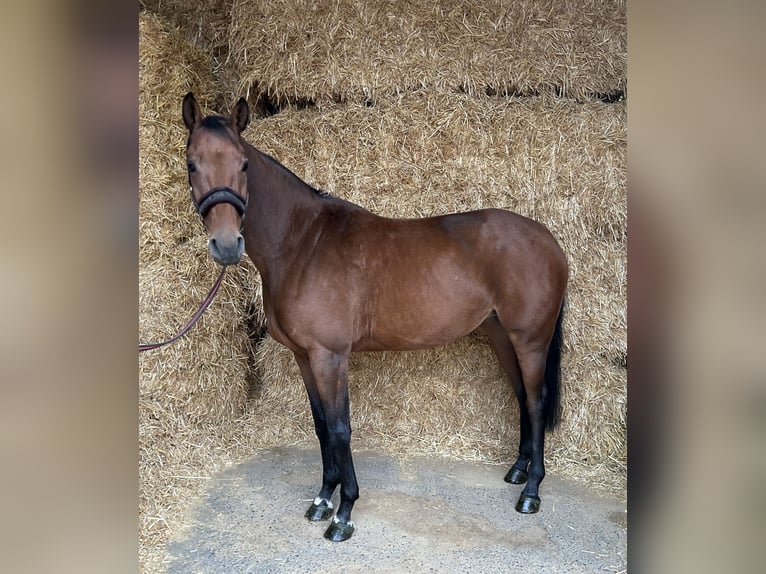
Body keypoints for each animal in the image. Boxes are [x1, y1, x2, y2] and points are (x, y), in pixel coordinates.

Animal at [182, 94, 568, 544]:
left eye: (243, 164)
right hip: (501, 336)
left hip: (530, 340)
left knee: (537, 402)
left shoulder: (330, 356)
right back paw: (518, 471)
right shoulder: (305, 356)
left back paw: (531, 491)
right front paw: (322, 499)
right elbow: (321, 426)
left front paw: (344, 513)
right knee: (522, 397)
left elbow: (340, 429)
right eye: (192, 164)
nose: (227, 245)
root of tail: (547, 240)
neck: (303, 244)